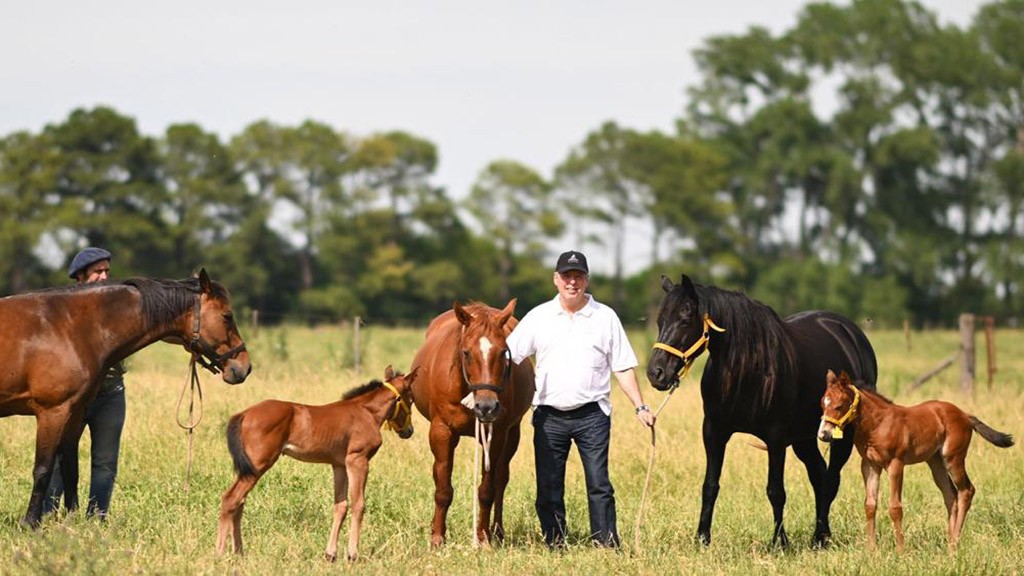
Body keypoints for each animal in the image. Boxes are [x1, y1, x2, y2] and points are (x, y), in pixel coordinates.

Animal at [0, 268, 251, 524]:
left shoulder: (75, 412)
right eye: (227, 316)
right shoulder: (52, 412)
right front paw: (31, 523)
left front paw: (71, 521)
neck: (69, 328)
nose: (244, 367)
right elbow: (43, 468)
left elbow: (71, 468)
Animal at [218, 362, 417, 561]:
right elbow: (358, 504)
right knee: (231, 498)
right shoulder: (357, 460)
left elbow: (340, 506)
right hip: (258, 465)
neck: (366, 412)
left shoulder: (339, 465)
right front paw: (352, 554)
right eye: (411, 399)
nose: (409, 431)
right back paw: (220, 553)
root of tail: (244, 413)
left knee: (239, 502)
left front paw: (331, 554)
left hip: (249, 469)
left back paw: (239, 552)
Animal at [409, 297, 536, 545]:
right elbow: (442, 487)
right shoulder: (441, 432)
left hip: (512, 435)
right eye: (466, 352)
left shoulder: (497, 434)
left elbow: (487, 489)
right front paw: (437, 537)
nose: (486, 407)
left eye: (503, 352)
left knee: (501, 480)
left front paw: (484, 537)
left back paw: (498, 531)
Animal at [643, 272, 876, 545]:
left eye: (685, 320)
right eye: (660, 321)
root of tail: (851, 333)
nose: (656, 373)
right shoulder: (714, 430)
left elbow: (776, 490)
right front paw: (702, 538)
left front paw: (780, 542)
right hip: (804, 437)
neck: (747, 368)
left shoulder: (775, 436)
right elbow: (710, 485)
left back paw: (820, 537)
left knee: (831, 479)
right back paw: (820, 536)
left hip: (842, 435)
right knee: (819, 475)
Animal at [819, 368, 1011, 549]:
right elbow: (870, 505)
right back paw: (949, 543)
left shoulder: (896, 464)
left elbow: (895, 507)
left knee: (966, 490)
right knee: (951, 496)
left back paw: (955, 542)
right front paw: (872, 550)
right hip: (936, 462)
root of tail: (965, 414)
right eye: (823, 404)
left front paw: (901, 551)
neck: (878, 424)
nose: (823, 434)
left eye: (839, 405)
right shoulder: (869, 465)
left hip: (953, 458)